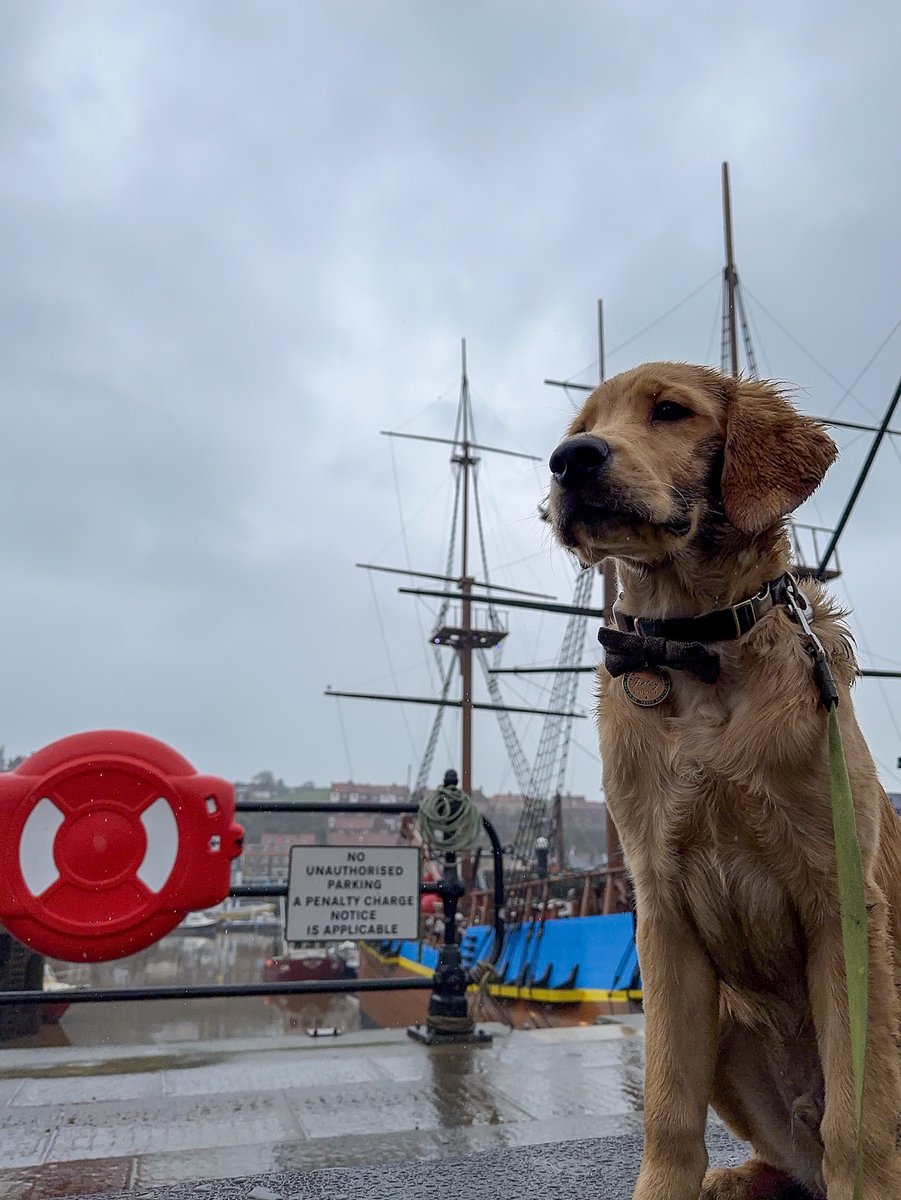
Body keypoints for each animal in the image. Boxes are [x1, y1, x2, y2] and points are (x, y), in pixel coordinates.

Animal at [547, 364, 897, 1200]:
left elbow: (858, 1119)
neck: (697, 653)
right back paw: (733, 1181)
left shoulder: (843, 904)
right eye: (582, 424)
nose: (569, 462)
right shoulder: (661, 916)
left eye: (670, 411)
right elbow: (668, 1111)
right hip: (731, 1019)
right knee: (787, 1159)